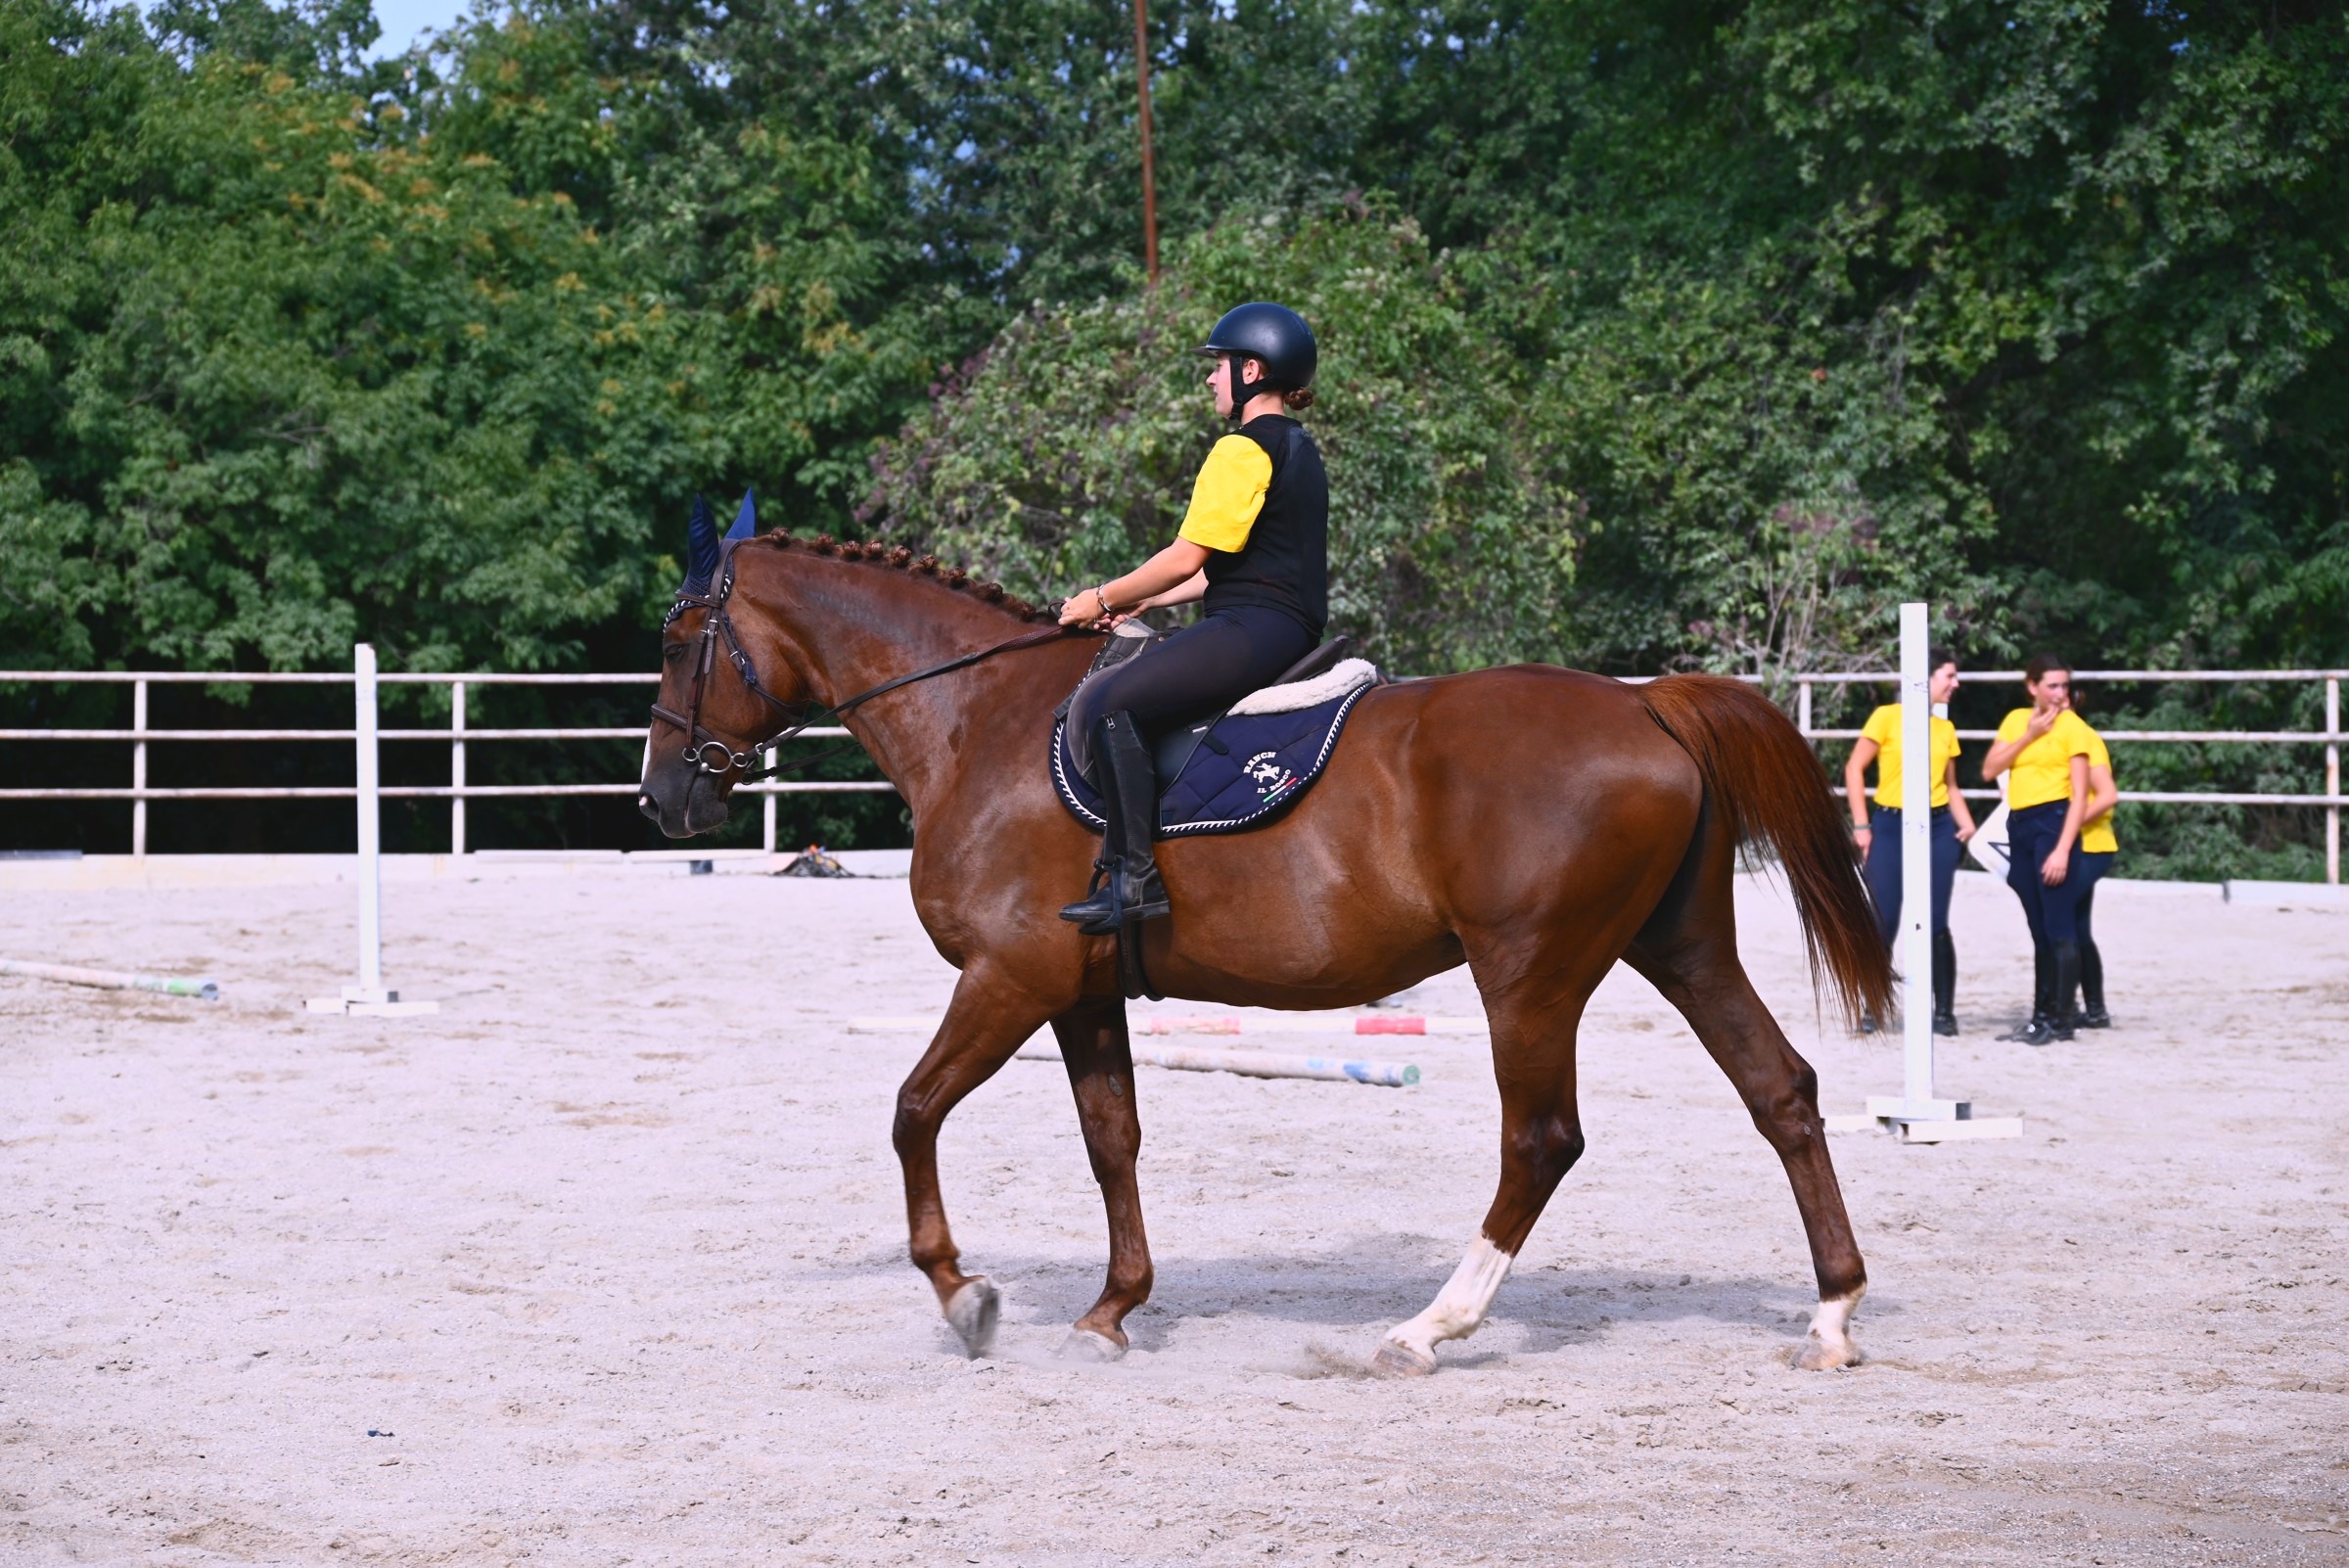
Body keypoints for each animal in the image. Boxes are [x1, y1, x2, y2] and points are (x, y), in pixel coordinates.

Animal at [637, 524, 1894, 1376]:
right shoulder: (1078, 993)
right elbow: (1111, 1141)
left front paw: (962, 1295)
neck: (975, 720)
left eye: (680, 640)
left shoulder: (1008, 978)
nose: (660, 800)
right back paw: (1832, 1313)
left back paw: (1428, 1329)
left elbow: (911, 1109)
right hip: (1681, 949)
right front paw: (1113, 1310)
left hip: (1529, 977)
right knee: (1781, 1090)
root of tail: (1645, 707)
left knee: (1542, 1141)